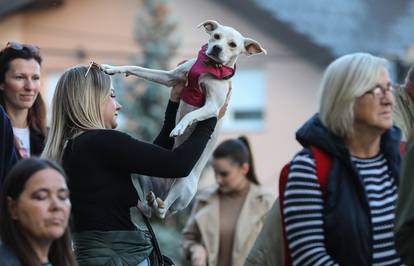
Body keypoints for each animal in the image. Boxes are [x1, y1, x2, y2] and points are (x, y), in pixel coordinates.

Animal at [102, 20, 266, 216]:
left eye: (233, 44)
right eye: (216, 36)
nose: (217, 48)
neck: (208, 66)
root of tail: (163, 192)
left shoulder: (213, 106)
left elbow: (191, 114)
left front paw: (179, 127)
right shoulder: (170, 77)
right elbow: (138, 68)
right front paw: (113, 68)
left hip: (182, 185)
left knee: (162, 210)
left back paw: (156, 203)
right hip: (143, 172)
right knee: (151, 210)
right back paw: (147, 202)